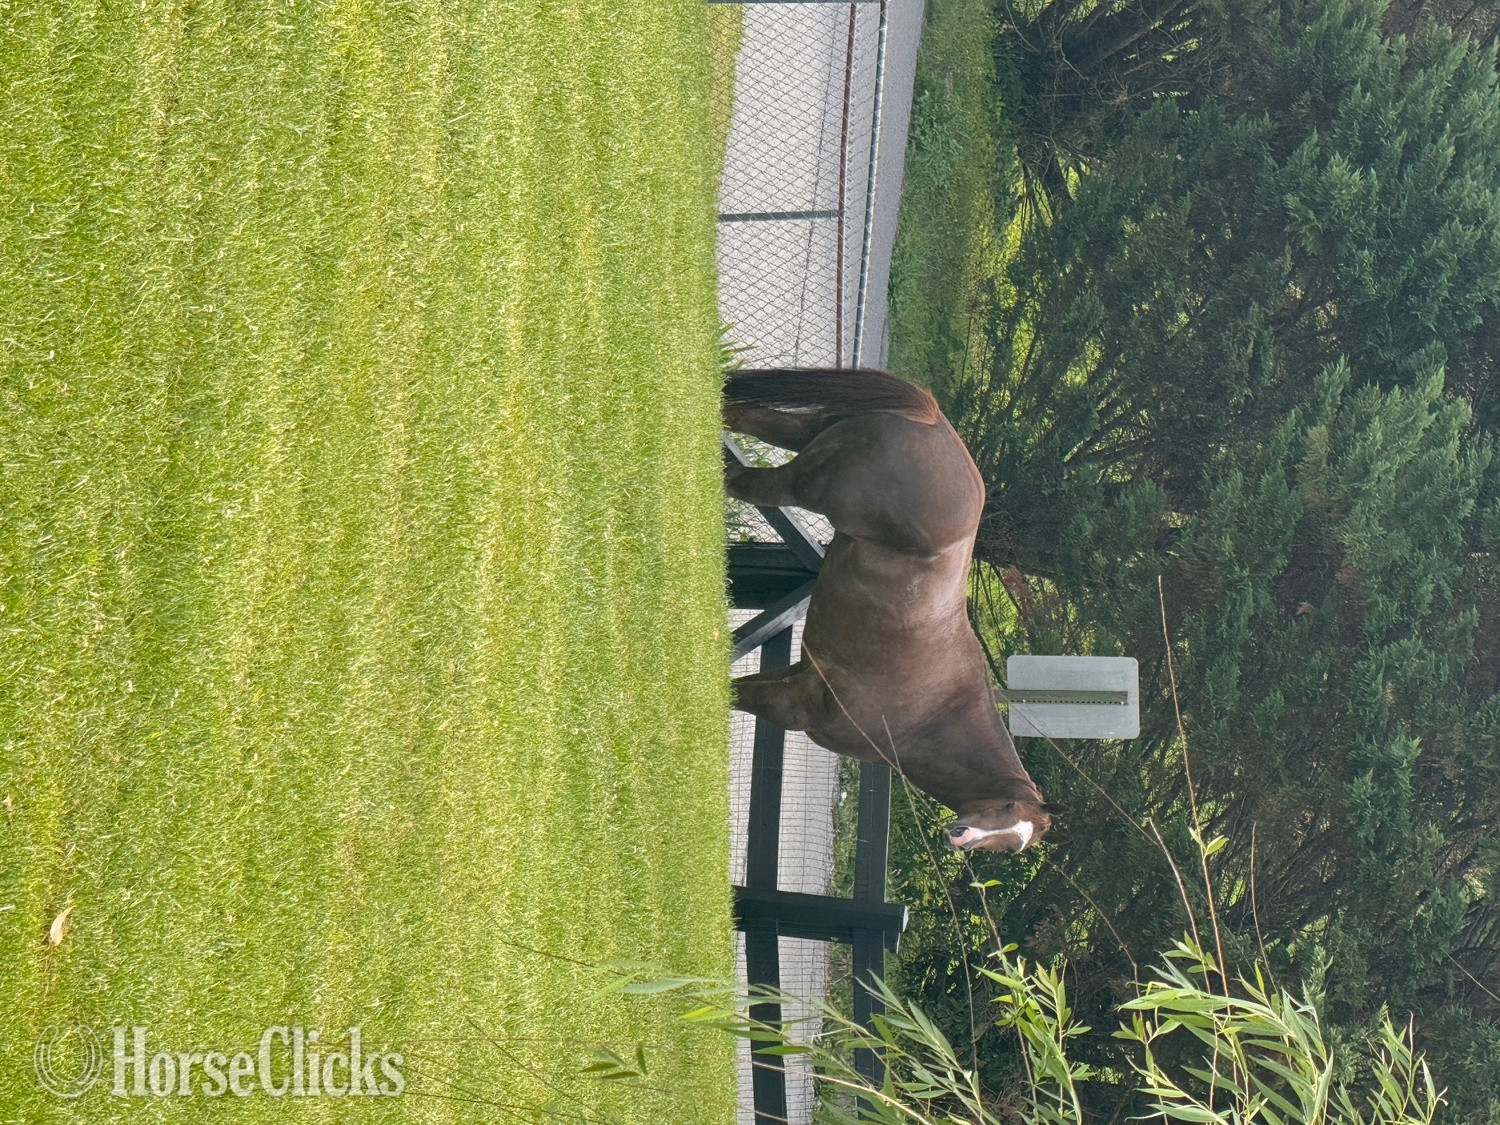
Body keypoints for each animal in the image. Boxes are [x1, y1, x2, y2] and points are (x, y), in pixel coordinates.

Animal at [724, 367, 1063, 854]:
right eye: (1006, 806)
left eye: (1010, 846)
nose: (960, 837)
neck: (930, 717)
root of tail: (932, 420)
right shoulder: (795, 705)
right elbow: (732, 693)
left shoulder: (800, 677)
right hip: (798, 483)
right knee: (740, 481)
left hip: (803, 432)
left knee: (739, 418)